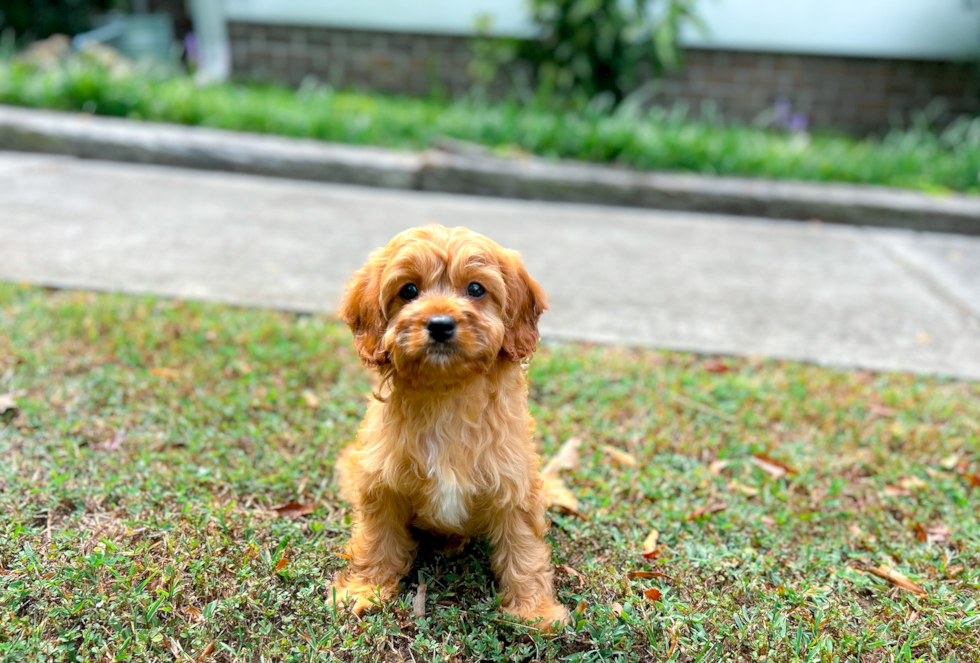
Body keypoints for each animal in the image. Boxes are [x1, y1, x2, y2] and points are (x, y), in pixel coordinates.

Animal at [330, 226, 572, 632]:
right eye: (408, 290)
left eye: (475, 289)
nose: (440, 324)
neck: (446, 392)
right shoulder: (381, 482)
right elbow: (376, 539)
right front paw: (365, 589)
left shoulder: (515, 486)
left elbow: (524, 550)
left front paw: (534, 611)